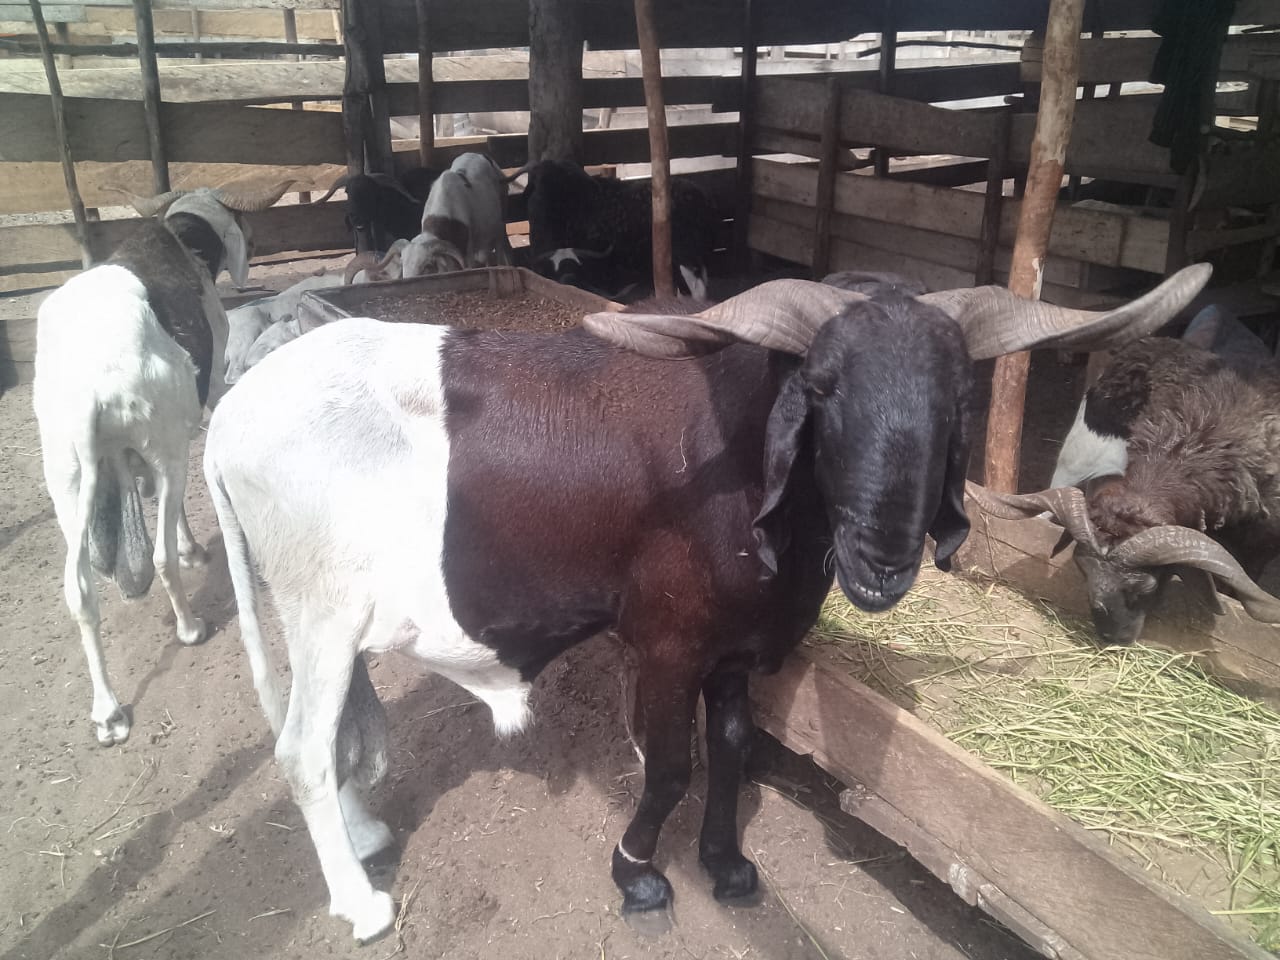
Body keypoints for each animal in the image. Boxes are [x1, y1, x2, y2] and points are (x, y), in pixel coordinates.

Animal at [34, 180, 292, 746]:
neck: (180, 238)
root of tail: (90, 386)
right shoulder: (201, 402)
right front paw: (193, 550)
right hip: (161, 448)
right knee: (157, 558)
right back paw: (190, 627)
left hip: (66, 480)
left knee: (79, 592)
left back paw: (108, 711)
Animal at [201, 264, 1210, 941]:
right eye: (820, 386)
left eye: (955, 396)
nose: (884, 561)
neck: (733, 467)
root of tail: (225, 423)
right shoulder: (665, 643)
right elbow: (672, 767)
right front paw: (638, 873)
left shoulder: (737, 651)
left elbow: (731, 750)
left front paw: (726, 864)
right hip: (317, 610)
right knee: (299, 749)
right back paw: (361, 903)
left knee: (336, 730)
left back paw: (368, 833)